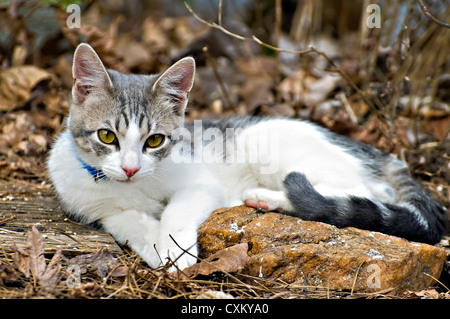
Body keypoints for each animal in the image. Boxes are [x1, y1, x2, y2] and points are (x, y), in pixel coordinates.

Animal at [48, 43, 446, 272]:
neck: (134, 188)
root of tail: (384, 155)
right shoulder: (95, 207)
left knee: (357, 192)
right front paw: (154, 244)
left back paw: (267, 197)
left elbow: (177, 209)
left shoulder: (200, 182)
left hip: (270, 143)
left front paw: (175, 248)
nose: (130, 168)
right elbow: (127, 221)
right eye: (107, 136)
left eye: (155, 140)